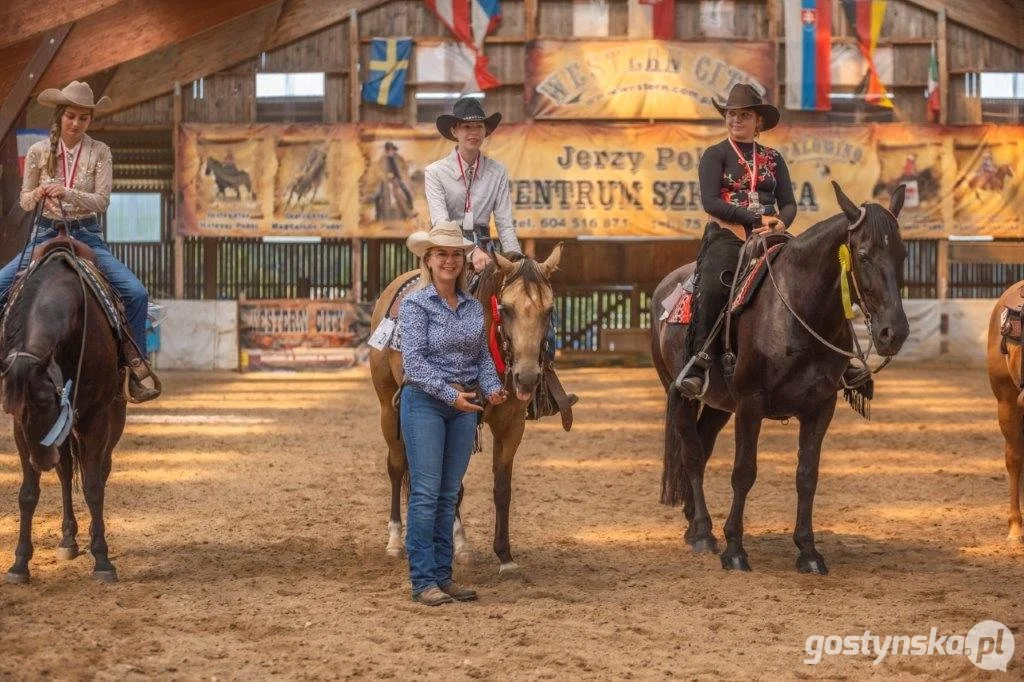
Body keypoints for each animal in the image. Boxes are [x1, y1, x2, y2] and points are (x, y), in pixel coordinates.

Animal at [2, 236, 126, 581]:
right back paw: (68, 539)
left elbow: (94, 485)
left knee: (100, 469)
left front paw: (102, 560)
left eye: (46, 401)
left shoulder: (96, 416)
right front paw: (19, 563)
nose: (42, 459)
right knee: (66, 471)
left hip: (113, 415)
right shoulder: (21, 432)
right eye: (13, 409)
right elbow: (28, 493)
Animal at [368, 245, 561, 573]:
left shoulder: (512, 426)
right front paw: (460, 546)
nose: (527, 377)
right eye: (505, 309)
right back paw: (395, 540)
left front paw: (505, 556)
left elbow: (502, 489)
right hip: (387, 409)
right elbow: (454, 485)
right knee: (395, 467)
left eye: (548, 311)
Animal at [651, 182, 909, 573]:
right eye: (863, 254)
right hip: (680, 392)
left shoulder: (820, 407)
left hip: (719, 404)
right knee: (692, 453)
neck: (797, 310)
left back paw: (693, 520)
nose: (894, 332)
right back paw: (703, 533)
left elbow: (807, 476)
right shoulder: (751, 403)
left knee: (703, 447)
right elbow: (744, 472)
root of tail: (666, 286)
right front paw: (735, 549)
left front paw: (808, 551)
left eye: (903, 253)